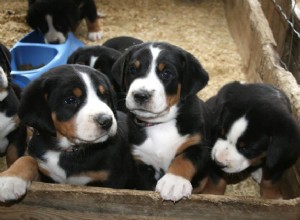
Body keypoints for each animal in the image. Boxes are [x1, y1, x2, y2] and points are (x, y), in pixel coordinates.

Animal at [0, 64, 136, 202]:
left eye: (104, 96)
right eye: (70, 100)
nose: (107, 121)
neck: (68, 151)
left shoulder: (112, 180)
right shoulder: (46, 175)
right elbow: (27, 158)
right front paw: (10, 179)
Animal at [111, 41, 212, 201]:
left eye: (166, 73)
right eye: (132, 70)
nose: (141, 95)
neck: (160, 125)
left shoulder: (199, 146)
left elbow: (184, 159)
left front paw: (174, 182)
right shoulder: (141, 162)